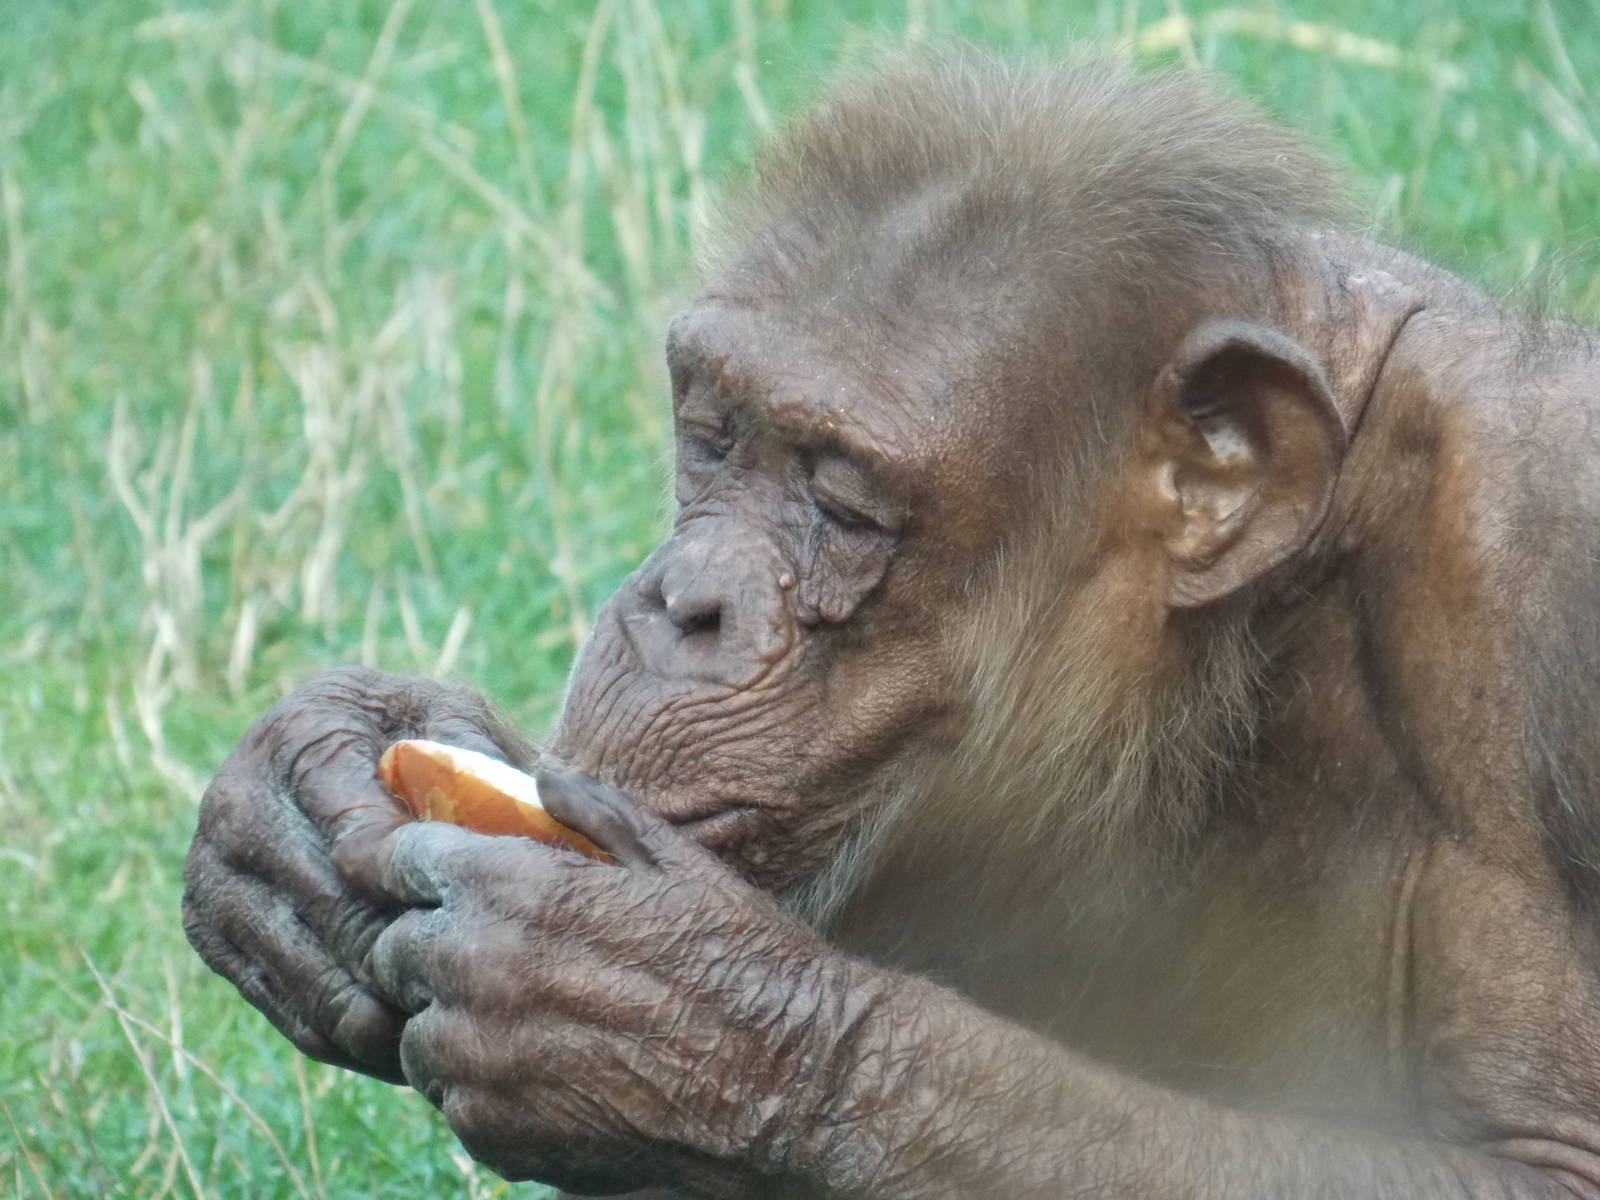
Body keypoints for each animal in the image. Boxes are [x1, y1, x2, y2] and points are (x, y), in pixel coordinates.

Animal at [182, 50, 1600, 1197]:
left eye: (842, 497)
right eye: (710, 435)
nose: (681, 602)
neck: (1248, 633)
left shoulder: (1541, 558)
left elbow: (1545, 1160)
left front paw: (669, 1011)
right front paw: (311, 780)